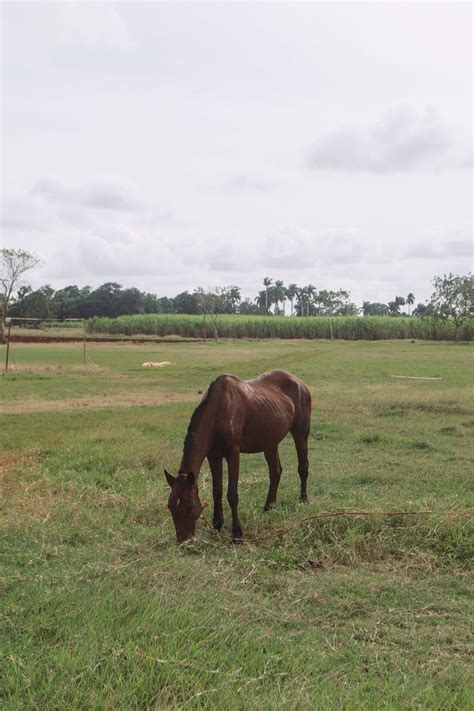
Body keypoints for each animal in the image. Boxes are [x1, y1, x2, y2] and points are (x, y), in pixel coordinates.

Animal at [165, 370, 312, 544]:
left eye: (189, 507)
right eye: (170, 506)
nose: (183, 541)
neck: (218, 411)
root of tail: (299, 383)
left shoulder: (233, 454)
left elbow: (232, 494)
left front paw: (237, 533)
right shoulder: (213, 456)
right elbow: (217, 491)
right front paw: (217, 525)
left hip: (300, 433)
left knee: (303, 467)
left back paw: (303, 500)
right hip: (270, 442)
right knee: (275, 471)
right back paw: (269, 506)